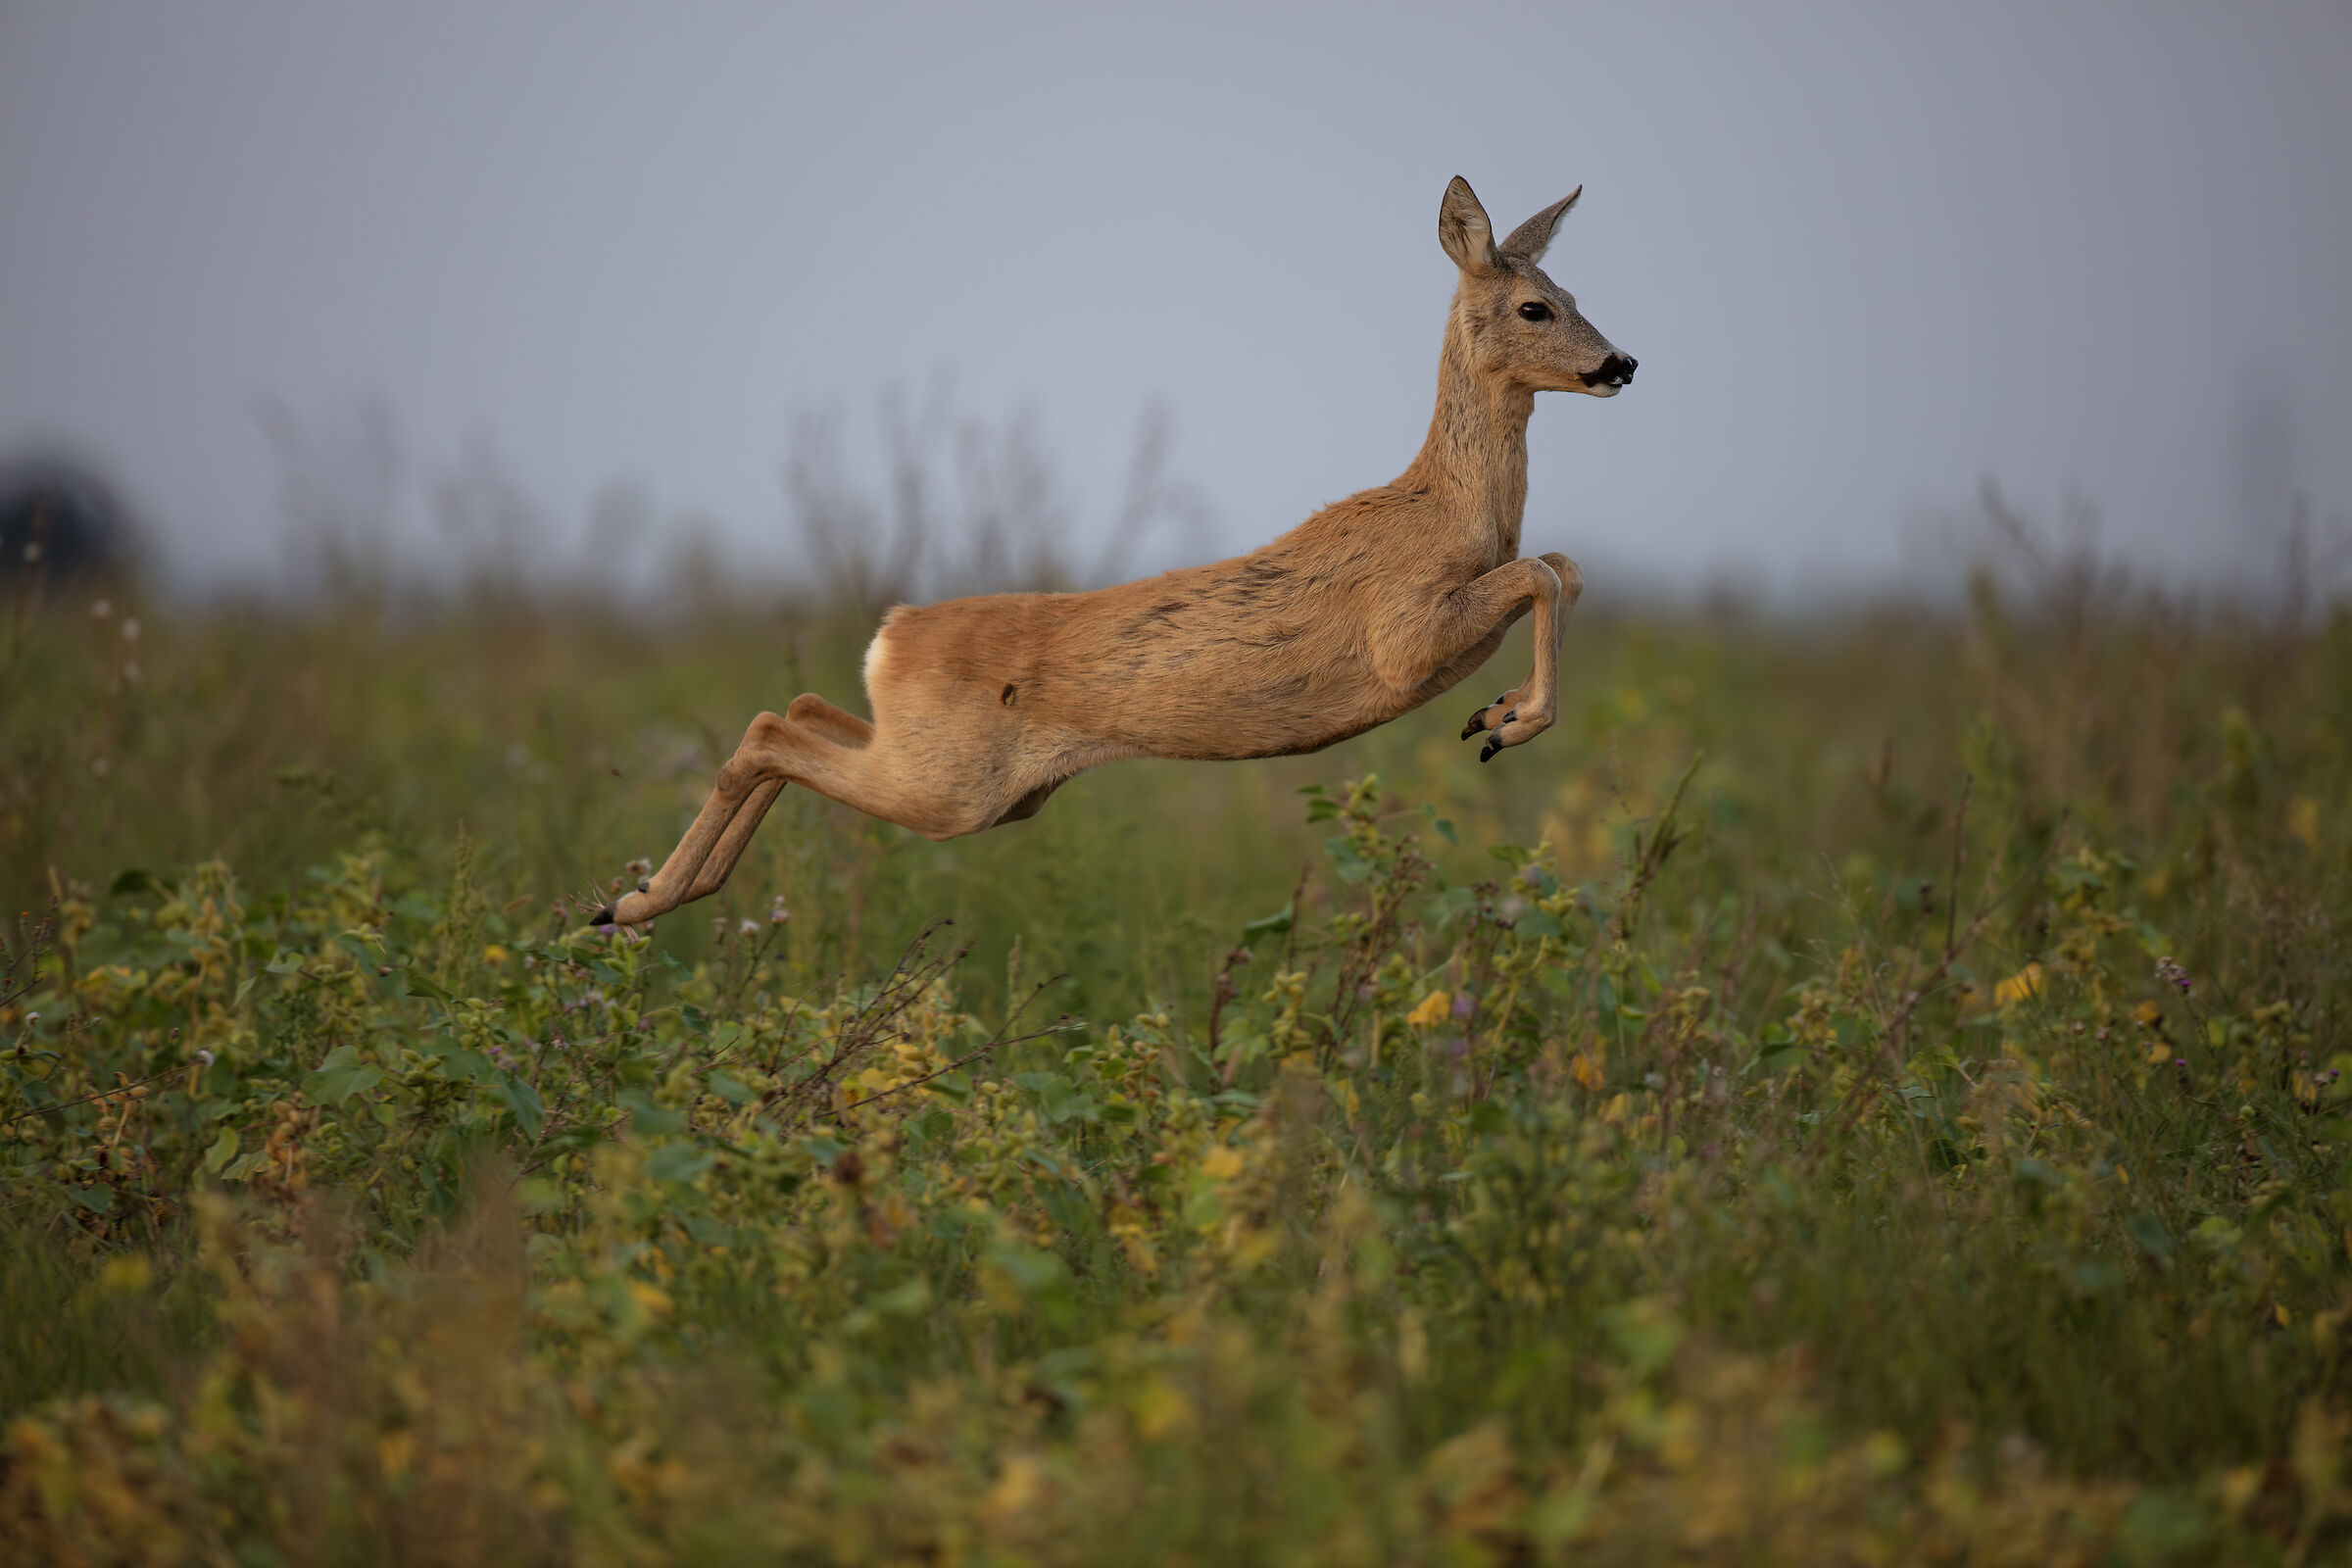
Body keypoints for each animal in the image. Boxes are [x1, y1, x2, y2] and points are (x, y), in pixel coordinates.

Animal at [592, 175, 1636, 930]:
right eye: (1537, 308)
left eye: (1576, 294)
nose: (1621, 363)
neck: (1450, 510)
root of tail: (891, 634)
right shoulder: (1403, 638)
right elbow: (1542, 572)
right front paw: (1506, 722)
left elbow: (1565, 567)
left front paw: (1497, 710)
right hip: (950, 789)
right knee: (770, 730)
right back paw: (634, 903)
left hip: (971, 782)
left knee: (799, 710)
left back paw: (642, 900)